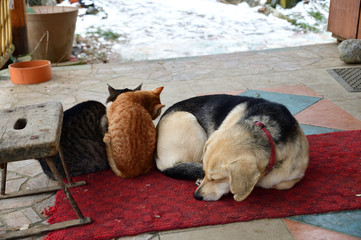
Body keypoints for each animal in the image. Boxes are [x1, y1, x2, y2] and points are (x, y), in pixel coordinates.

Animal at [153, 94, 308, 202]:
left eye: (215, 179)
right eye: (208, 175)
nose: (196, 196)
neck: (264, 131)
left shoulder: (294, 176)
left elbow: (281, 184)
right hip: (191, 122)